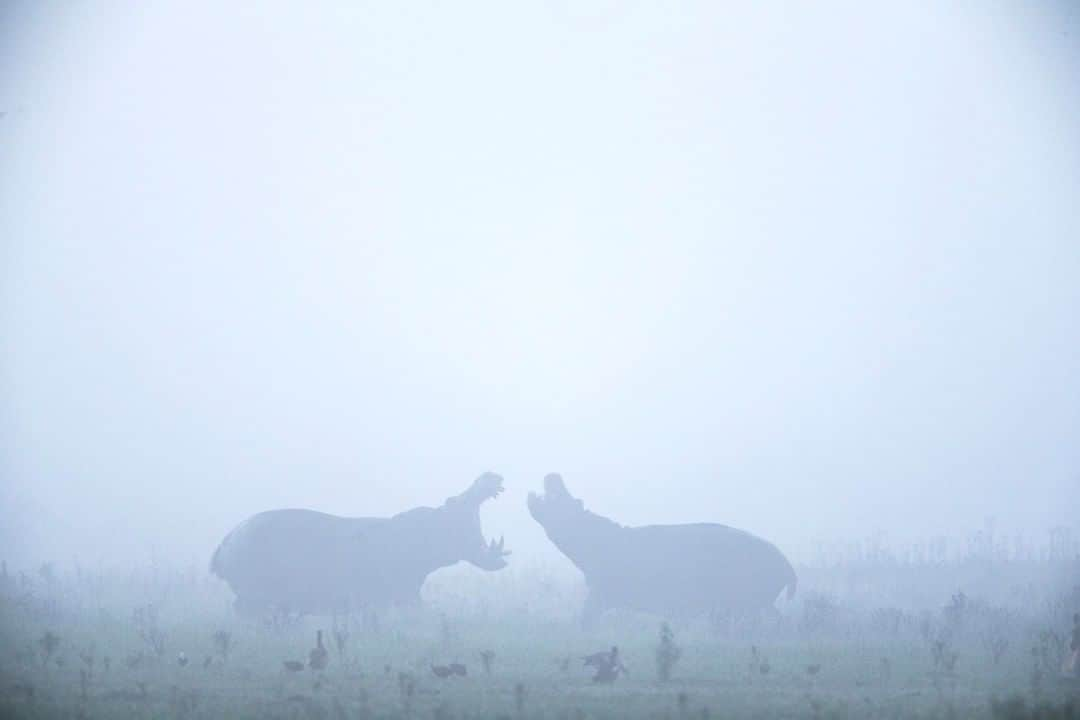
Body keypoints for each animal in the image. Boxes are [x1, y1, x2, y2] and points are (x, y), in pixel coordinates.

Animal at [524, 472, 794, 626]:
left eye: (571, 501)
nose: (554, 474)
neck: (591, 536)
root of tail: (786, 563)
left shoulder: (600, 592)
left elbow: (587, 616)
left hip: (747, 603)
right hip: (758, 603)